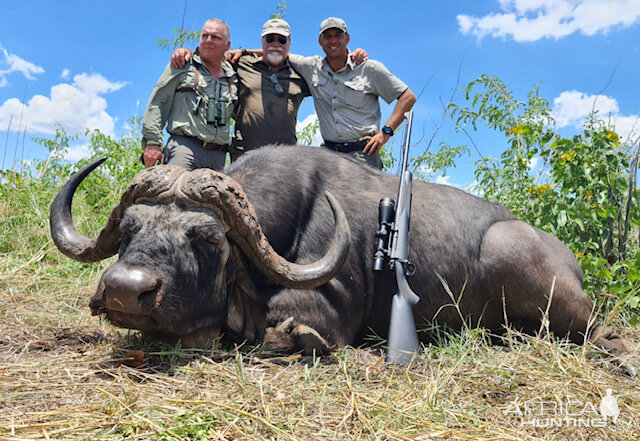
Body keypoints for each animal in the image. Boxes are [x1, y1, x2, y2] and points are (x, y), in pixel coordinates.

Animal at [51, 146, 636, 372]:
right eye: (129, 227)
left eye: (208, 238)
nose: (127, 289)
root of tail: (570, 260)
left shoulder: (326, 314)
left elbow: (281, 333)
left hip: (535, 279)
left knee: (597, 330)